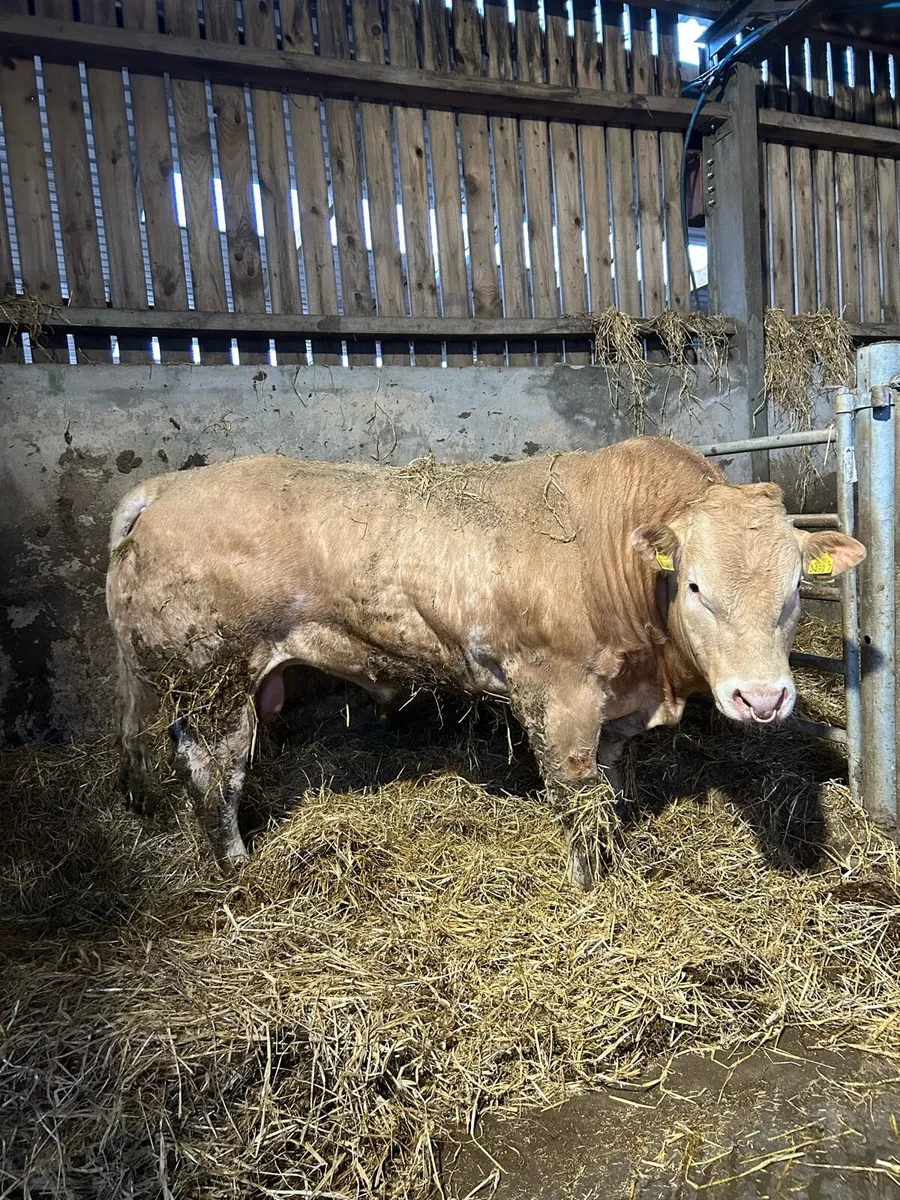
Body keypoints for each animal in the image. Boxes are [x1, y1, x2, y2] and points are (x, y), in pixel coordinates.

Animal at [106, 437, 865, 888]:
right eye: (697, 587)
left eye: (796, 587)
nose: (762, 699)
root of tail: (168, 487)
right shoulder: (557, 693)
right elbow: (575, 794)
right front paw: (591, 885)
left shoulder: (616, 701)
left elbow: (613, 784)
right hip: (214, 677)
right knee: (214, 769)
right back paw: (235, 864)